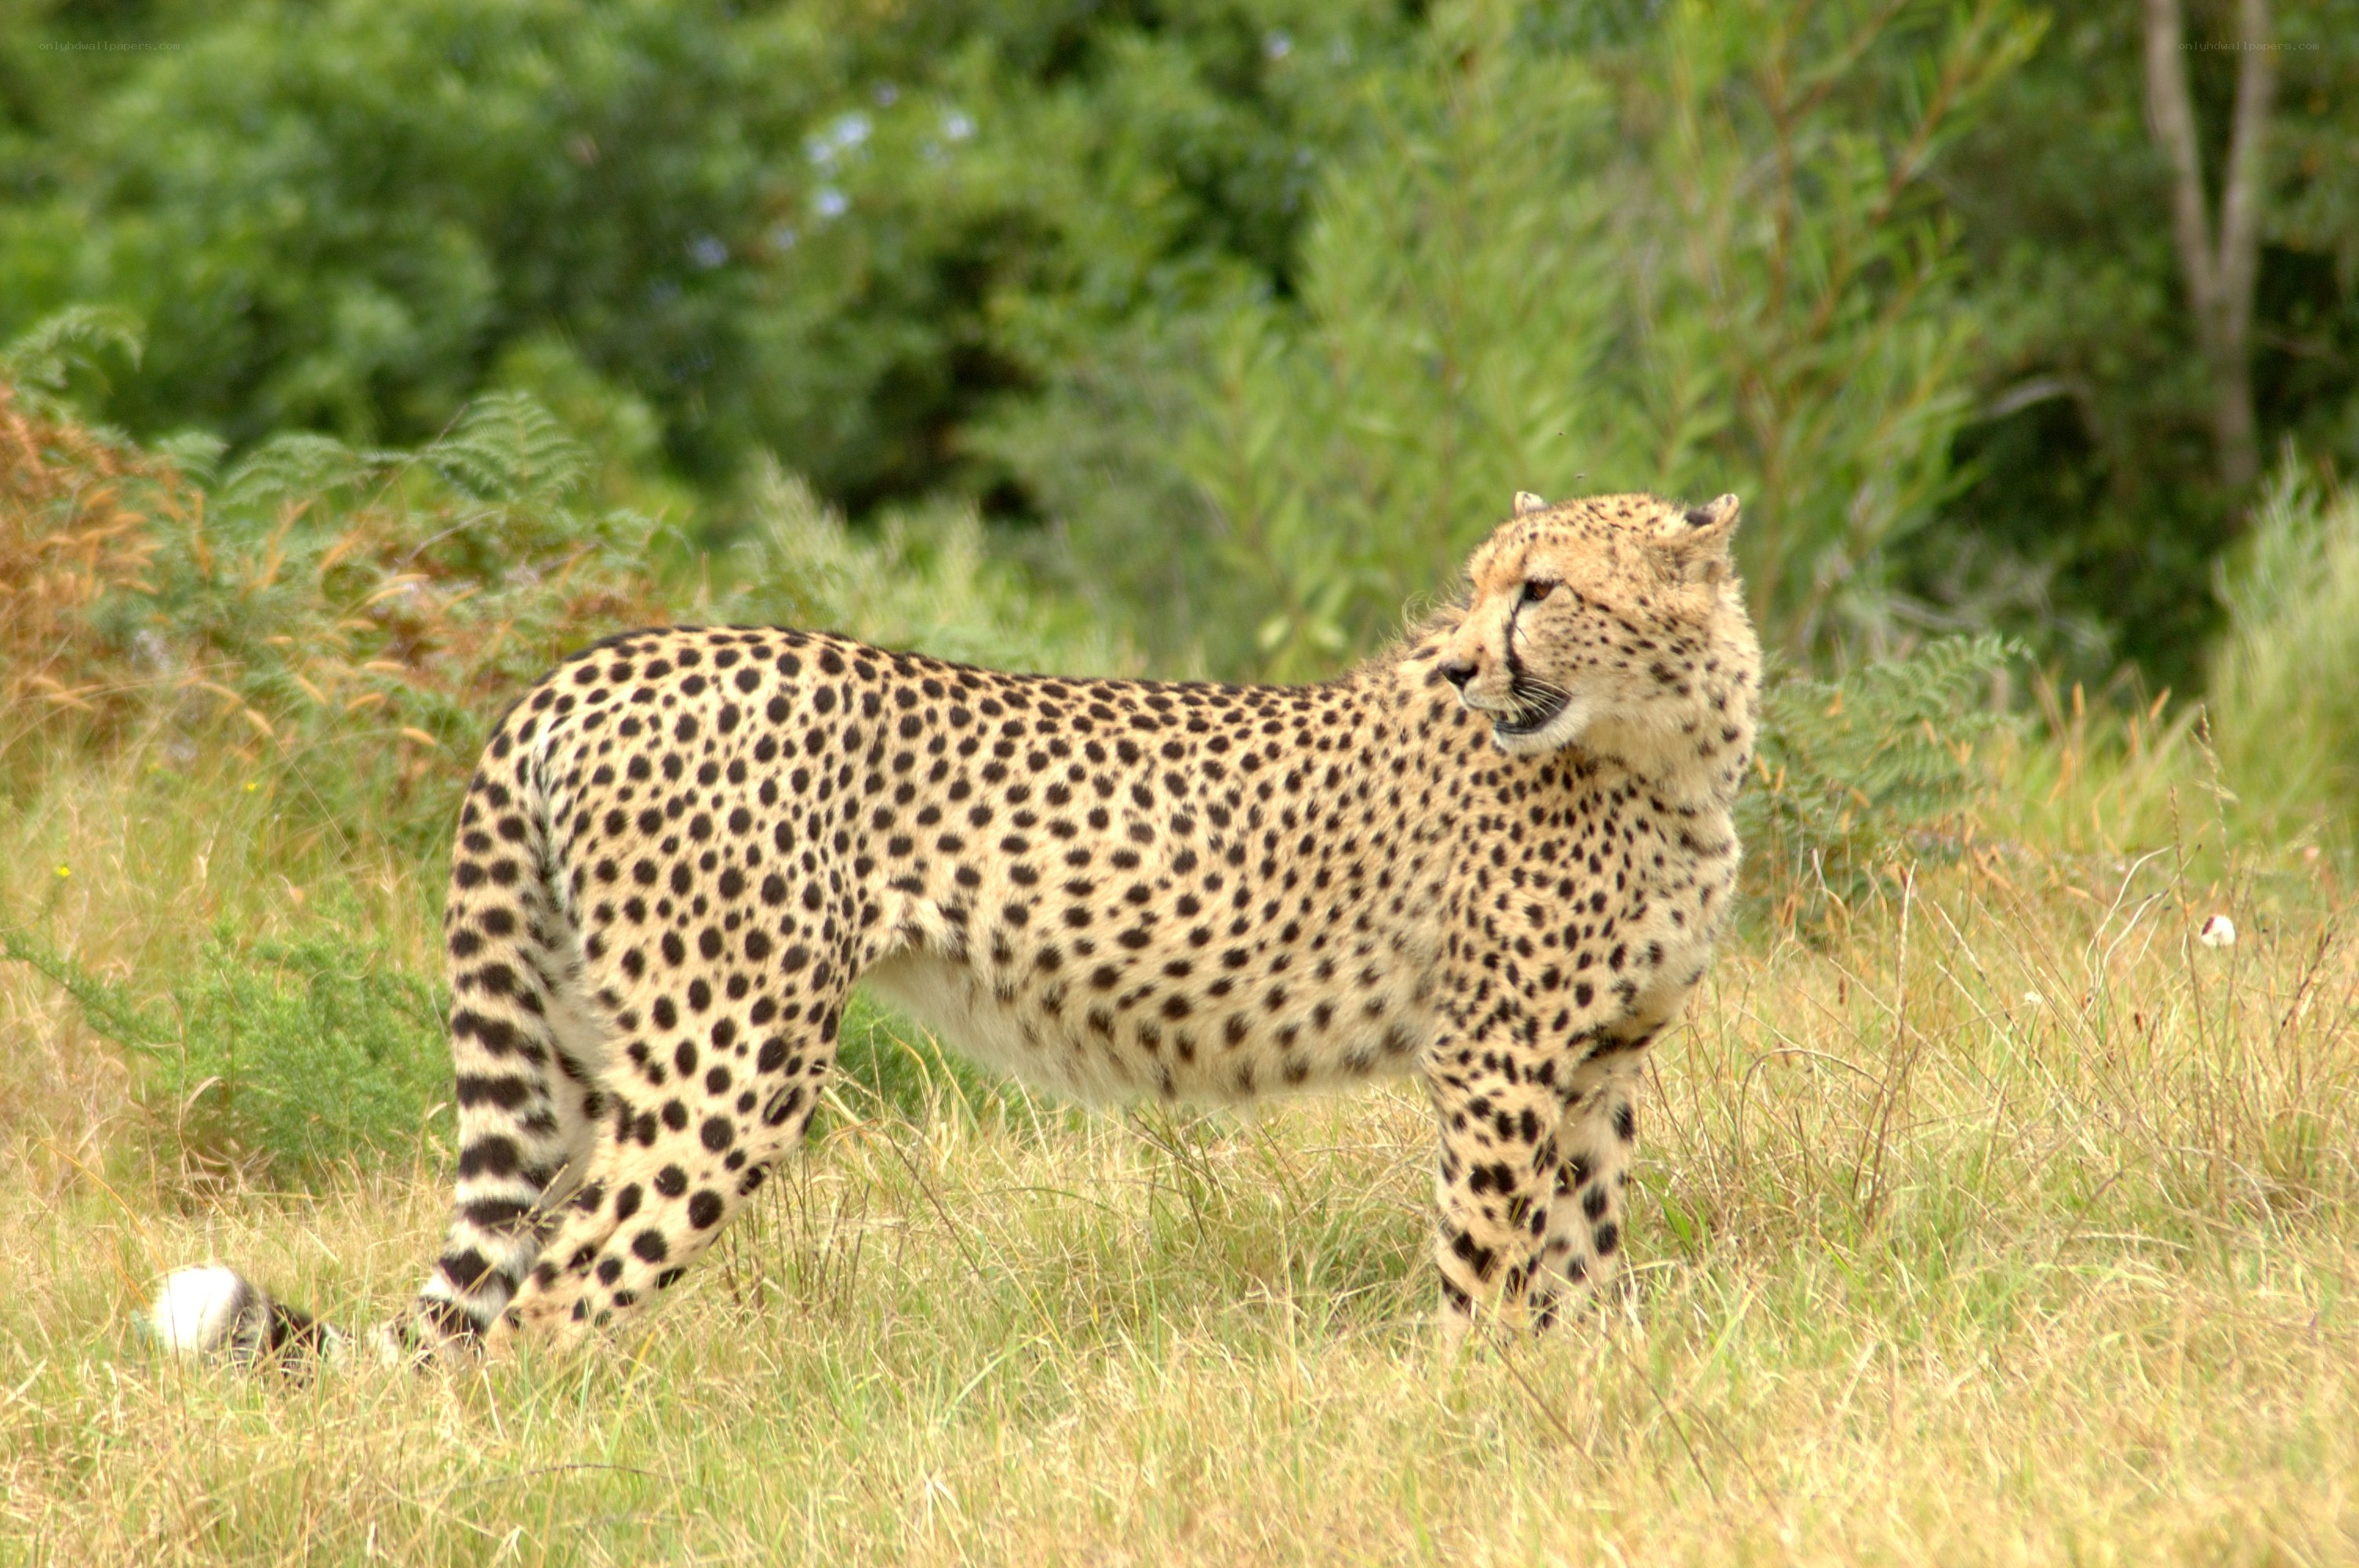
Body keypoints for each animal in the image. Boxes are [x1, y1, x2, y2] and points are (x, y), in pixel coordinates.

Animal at [146, 489, 1760, 1365]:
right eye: (1483, 589)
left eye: (1539, 588)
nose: (1464, 664)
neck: (1665, 753)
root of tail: (595, 663)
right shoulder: (1496, 1063)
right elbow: (1488, 1262)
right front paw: (1470, 1399)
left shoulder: (1597, 1066)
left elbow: (1587, 1261)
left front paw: (1588, 1388)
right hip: (730, 1062)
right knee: (554, 1298)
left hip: (583, 1058)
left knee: (498, 1296)